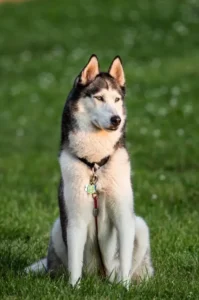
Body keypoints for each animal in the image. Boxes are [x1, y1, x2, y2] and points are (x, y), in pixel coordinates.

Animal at [26, 54, 154, 288]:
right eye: (99, 98)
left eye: (117, 100)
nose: (116, 119)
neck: (95, 163)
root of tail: (99, 276)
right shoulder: (75, 219)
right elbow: (75, 262)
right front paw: (74, 288)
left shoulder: (124, 216)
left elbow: (124, 259)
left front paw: (125, 288)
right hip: (58, 227)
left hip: (140, 226)